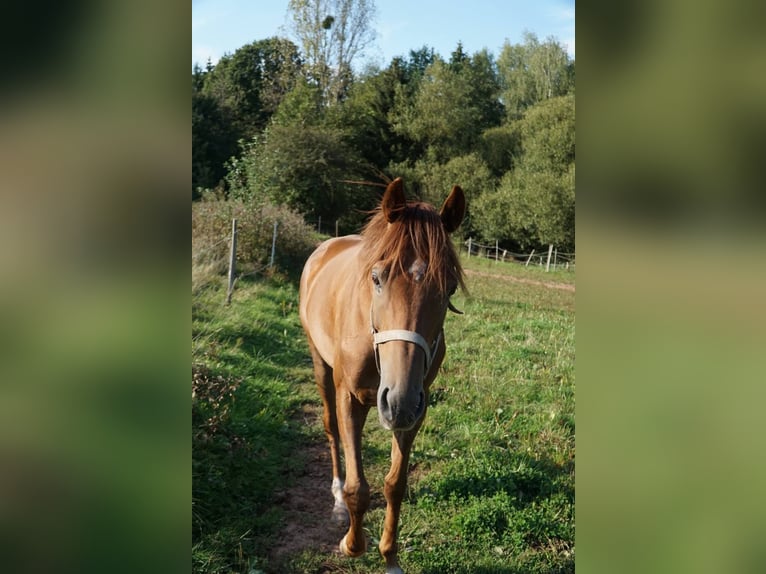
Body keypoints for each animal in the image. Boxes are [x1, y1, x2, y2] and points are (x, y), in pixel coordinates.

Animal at [300, 180, 468, 574]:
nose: (398, 400)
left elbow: (395, 484)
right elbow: (358, 488)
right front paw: (351, 544)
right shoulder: (351, 398)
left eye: (450, 288)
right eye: (377, 278)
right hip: (320, 365)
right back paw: (335, 498)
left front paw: (390, 556)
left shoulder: (415, 408)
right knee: (331, 429)